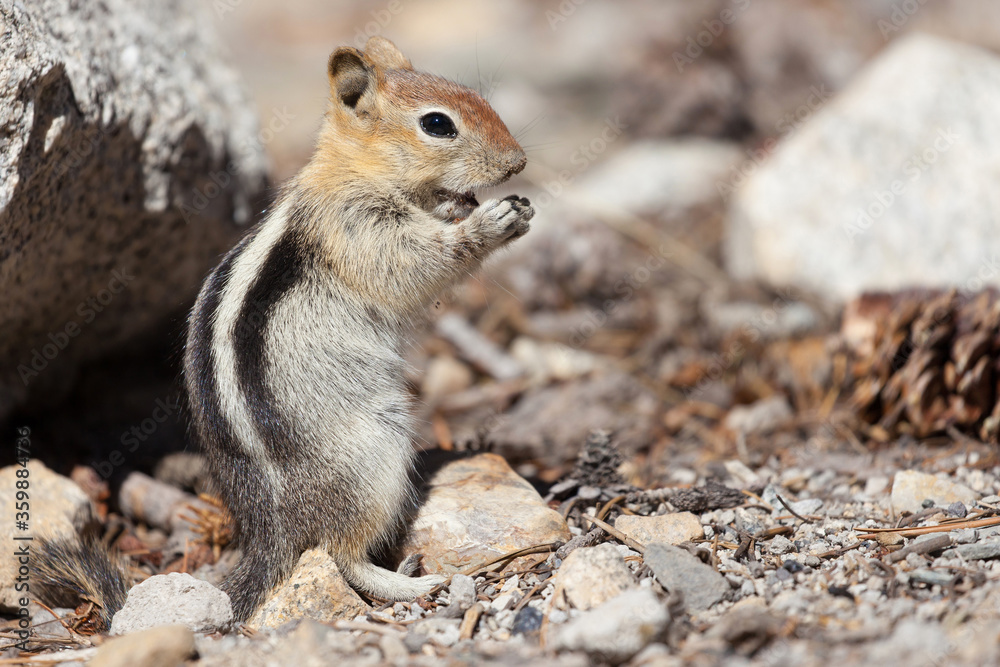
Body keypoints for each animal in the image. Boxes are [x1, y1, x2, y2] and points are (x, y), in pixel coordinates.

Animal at [35, 36, 533, 626]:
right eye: (438, 124)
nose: (519, 162)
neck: (354, 171)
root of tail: (272, 528)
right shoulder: (358, 227)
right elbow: (414, 266)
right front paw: (491, 221)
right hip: (375, 456)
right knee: (340, 552)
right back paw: (412, 584)